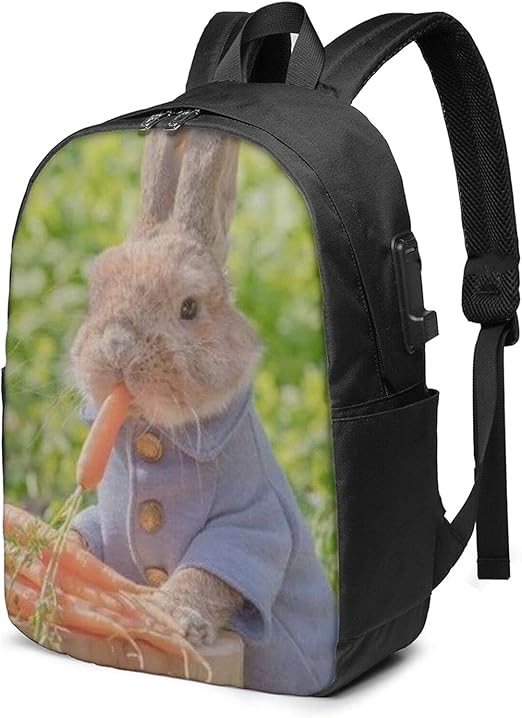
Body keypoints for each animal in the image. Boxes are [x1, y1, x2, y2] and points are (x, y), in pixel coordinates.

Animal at [69, 128, 337, 694]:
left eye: (189, 308)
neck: (157, 435)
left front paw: (171, 618)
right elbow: (88, 537)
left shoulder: (252, 526)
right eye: (95, 295)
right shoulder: (106, 518)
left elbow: (209, 571)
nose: (118, 345)